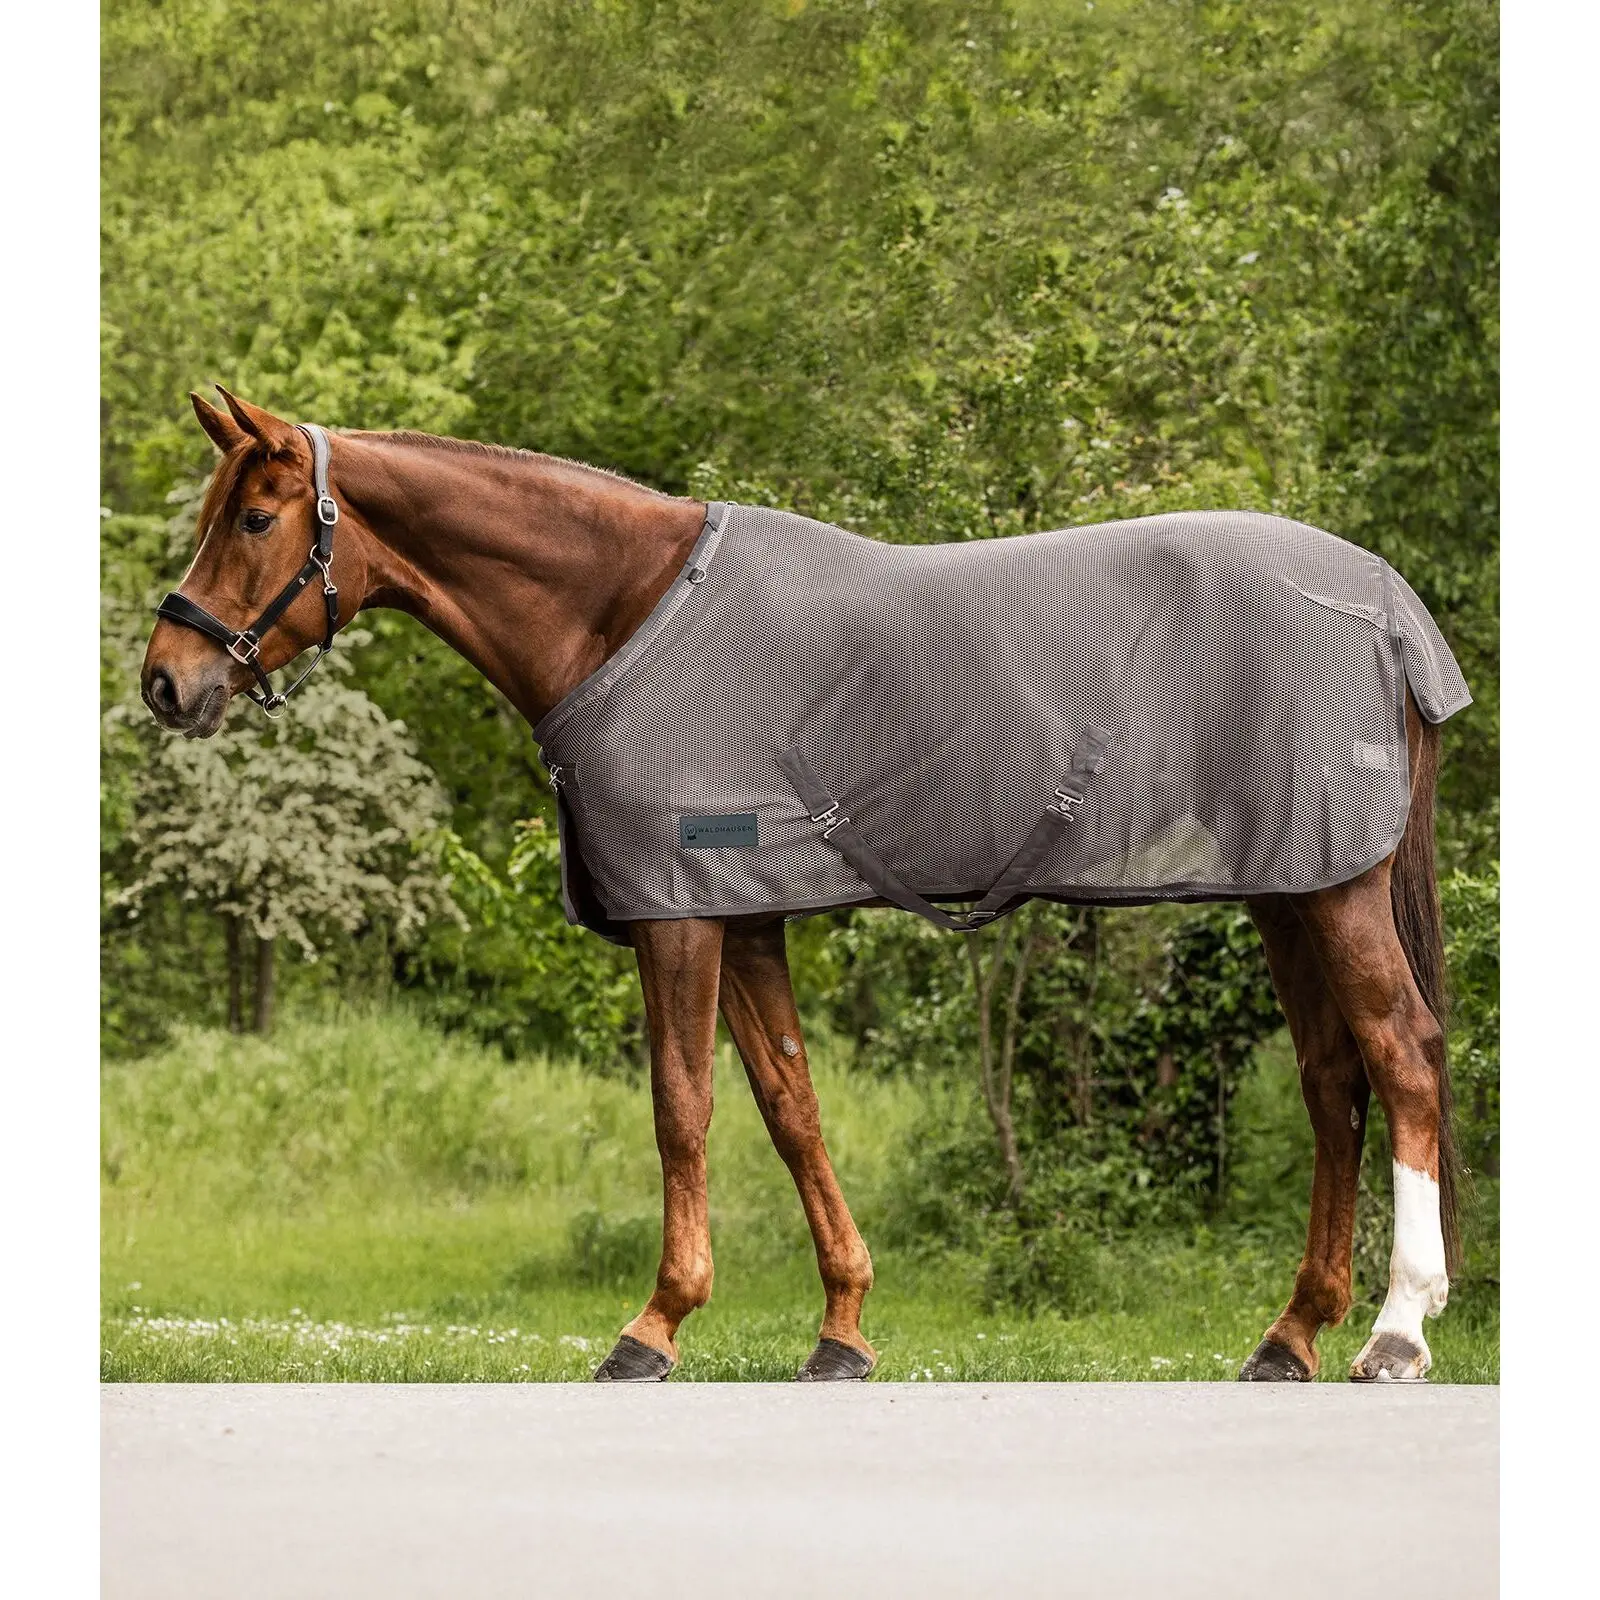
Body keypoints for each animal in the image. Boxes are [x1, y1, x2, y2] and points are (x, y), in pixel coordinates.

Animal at [141, 387, 1462, 1384]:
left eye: (253, 516)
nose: (165, 679)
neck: (625, 613)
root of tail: (1388, 604)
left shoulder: (680, 913)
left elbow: (682, 1108)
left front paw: (654, 1325)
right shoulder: (749, 916)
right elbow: (791, 1107)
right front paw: (841, 1329)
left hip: (1333, 890)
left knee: (1398, 1055)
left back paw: (1395, 1331)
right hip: (1291, 886)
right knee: (1331, 1079)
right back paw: (1290, 1335)